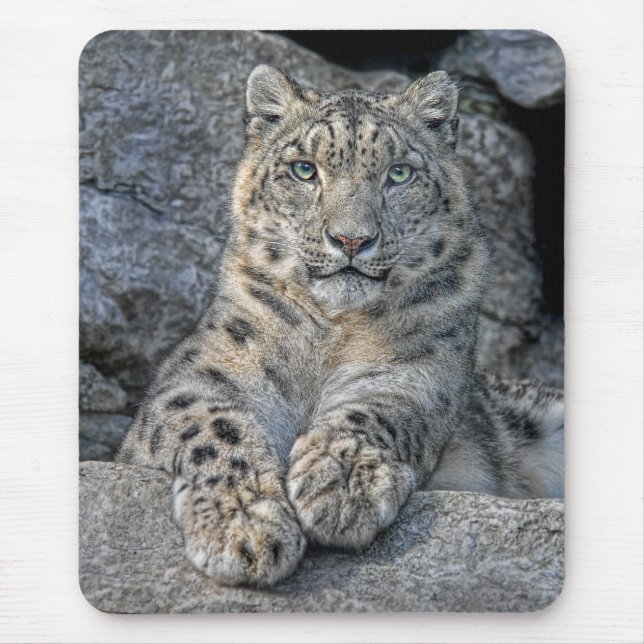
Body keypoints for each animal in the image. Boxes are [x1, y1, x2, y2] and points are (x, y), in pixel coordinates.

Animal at [117, 65, 564, 588]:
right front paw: (244, 526)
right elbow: (214, 426)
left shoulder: (419, 375)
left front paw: (340, 484)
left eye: (399, 173)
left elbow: (376, 413)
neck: (331, 333)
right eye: (304, 169)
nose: (351, 239)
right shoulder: (199, 377)